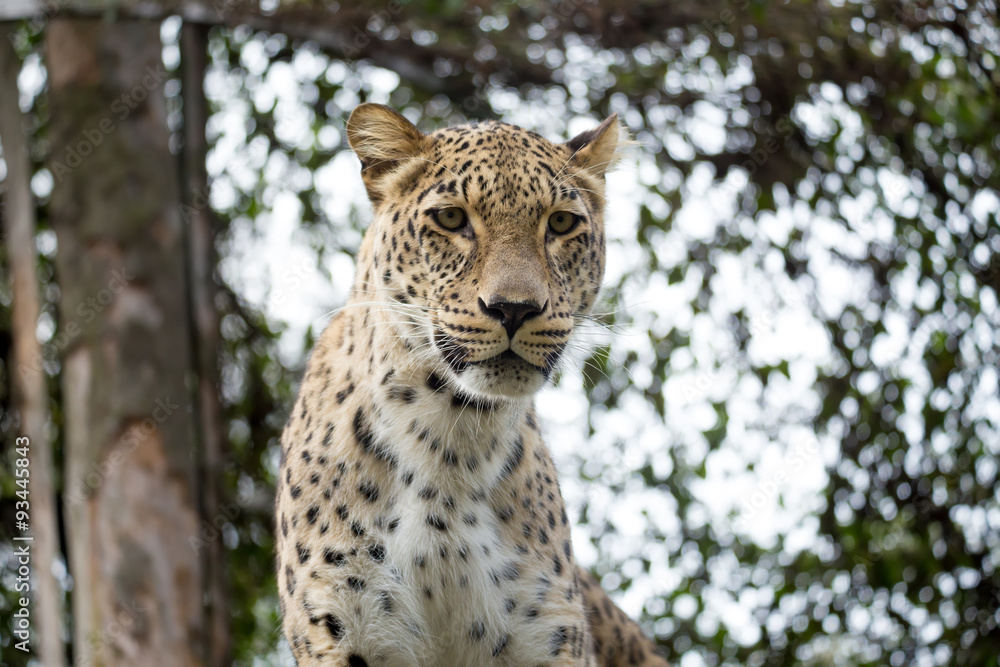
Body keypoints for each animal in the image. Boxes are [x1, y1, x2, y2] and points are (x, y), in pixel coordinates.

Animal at [275, 102, 670, 667]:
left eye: (561, 222)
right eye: (450, 219)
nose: (514, 308)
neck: (452, 440)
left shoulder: (548, 634)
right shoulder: (343, 629)